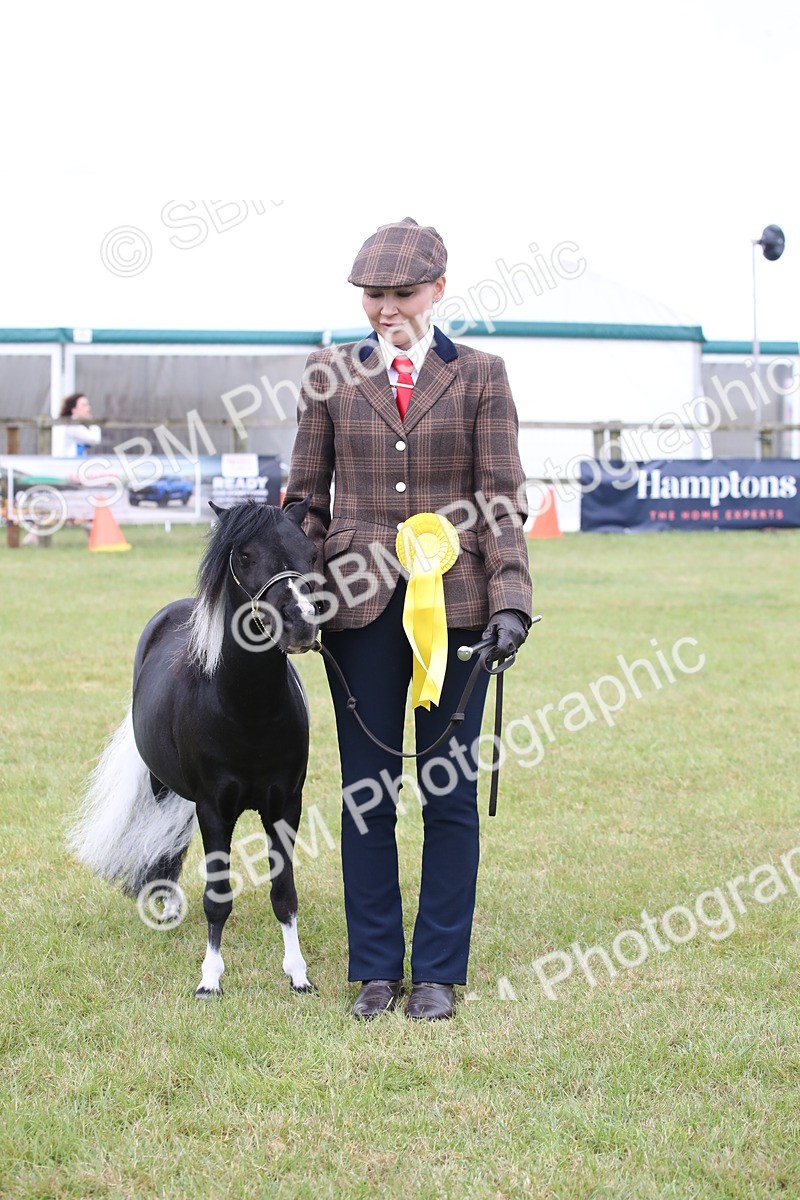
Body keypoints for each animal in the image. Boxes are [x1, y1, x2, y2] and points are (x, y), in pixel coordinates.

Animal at [67, 498, 320, 998]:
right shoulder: (213, 809)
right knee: (162, 839)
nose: (301, 624)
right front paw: (210, 979)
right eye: (244, 556)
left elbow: (284, 893)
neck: (247, 709)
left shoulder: (286, 805)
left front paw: (298, 974)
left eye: (309, 551)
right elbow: (216, 896)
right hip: (162, 785)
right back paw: (164, 904)